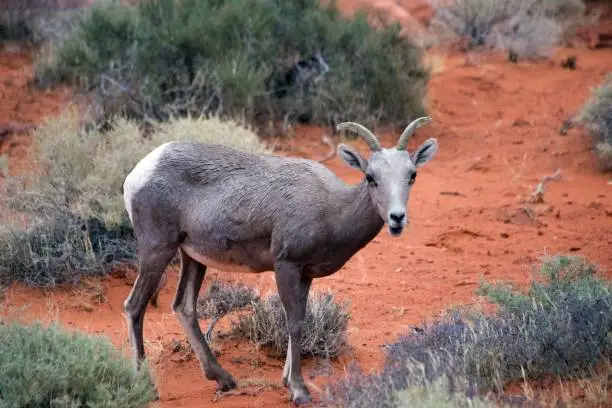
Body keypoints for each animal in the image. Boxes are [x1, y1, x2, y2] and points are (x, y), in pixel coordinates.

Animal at [123, 116, 436, 404]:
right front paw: (299, 390)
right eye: (371, 177)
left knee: (184, 307)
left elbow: (300, 318)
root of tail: (139, 173)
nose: (397, 218)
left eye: (412, 175)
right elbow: (293, 322)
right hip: (158, 250)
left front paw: (288, 380)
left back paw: (224, 379)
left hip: (192, 257)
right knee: (135, 306)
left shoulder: (305, 274)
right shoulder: (286, 266)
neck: (332, 209)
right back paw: (145, 385)